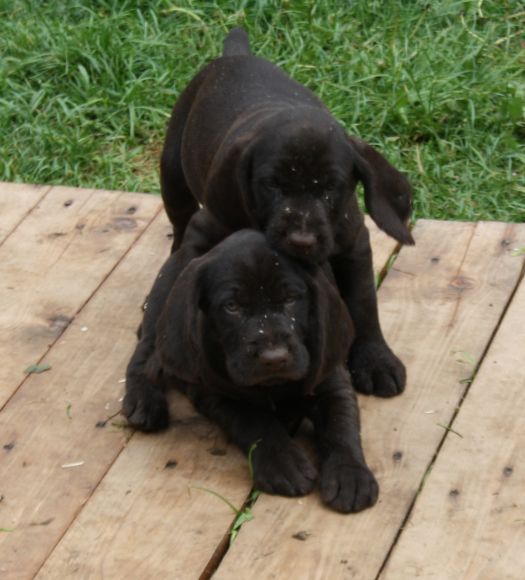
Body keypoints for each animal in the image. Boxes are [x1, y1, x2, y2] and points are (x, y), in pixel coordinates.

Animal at [123, 225, 378, 513]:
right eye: (232, 307)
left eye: (291, 299)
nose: (274, 358)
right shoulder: (216, 394)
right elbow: (256, 421)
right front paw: (283, 462)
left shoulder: (331, 380)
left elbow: (341, 426)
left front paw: (350, 476)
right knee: (145, 352)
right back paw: (144, 401)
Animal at [160, 28, 414, 399]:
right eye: (272, 185)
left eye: (330, 188)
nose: (302, 240)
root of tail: (236, 55)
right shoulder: (205, 228)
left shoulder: (353, 243)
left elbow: (363, 303)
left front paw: (375, 360)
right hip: (173, 173)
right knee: (177, 225)